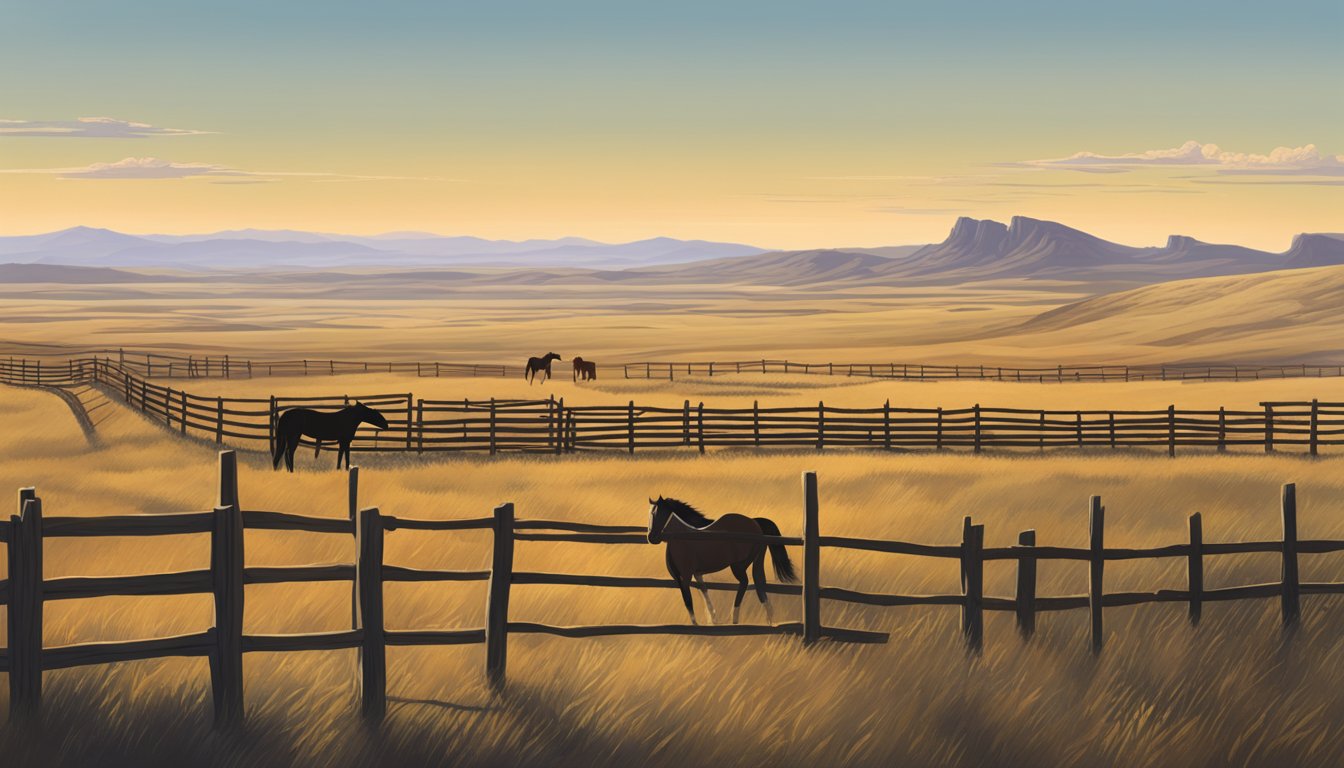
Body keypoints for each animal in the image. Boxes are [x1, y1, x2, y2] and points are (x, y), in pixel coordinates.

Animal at [645, 497, 790, 624]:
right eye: (650, 514)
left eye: (660, 513)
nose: (651, 537)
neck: (684, 536)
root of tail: (756, 523)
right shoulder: (693, 575)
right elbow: (703, 592)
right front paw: (713, 618)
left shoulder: (685, 576)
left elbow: (689, 601)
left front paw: (697, 624)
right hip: (755, 561)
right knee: (759, 582)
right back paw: (767, 618)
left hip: (738, 565)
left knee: (745, 582)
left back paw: (735, 617)